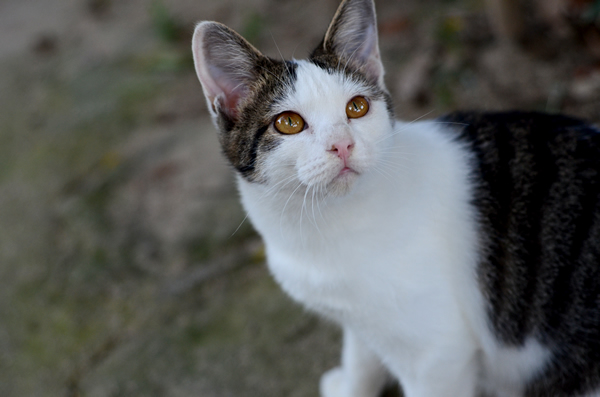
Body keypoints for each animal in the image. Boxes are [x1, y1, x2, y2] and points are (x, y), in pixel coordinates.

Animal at [190, 0, 600, 394]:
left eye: (357, 107)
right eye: (288, 123)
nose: (343, 144)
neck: (325, 226)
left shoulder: (438, 356)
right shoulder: (361, 320)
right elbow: (361, 355)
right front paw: (351, 386)